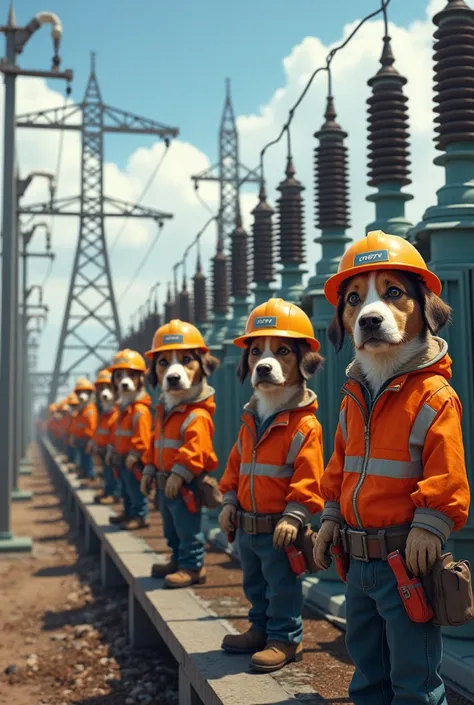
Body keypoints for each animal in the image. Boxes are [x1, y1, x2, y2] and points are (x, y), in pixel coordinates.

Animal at [140, 322, 219, 592]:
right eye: (163, 362)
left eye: (186, 359)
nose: (173, 378)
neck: (176, 406)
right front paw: (147, 476)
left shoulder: (198, 424)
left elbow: (191, 449)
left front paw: (174, 479)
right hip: (166, 508)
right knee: (173, 534)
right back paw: (170, 567)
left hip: (183, 504)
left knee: (187, 537)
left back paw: (187, 573)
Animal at [219, 296, 326, 672]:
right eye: (255, 351)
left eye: (282, 350)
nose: (263, 368)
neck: (271, 413)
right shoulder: (242, 442)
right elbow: (235, 470)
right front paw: (227, 510)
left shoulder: (309, 440)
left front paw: (287, 523)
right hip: (251, 555)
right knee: (257, 590)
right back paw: (252, 638)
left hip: (276, 559)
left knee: (279, 595)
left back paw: (279, 648)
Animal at [314, 231, 470, 704]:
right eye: (352, 298)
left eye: (394, 292)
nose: (369, 321)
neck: (384, 381)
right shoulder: (347, 426)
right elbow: (337, 476)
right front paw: (326, 528)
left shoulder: (442, 411)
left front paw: (422, 536)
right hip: (362, 605)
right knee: (369, 663)